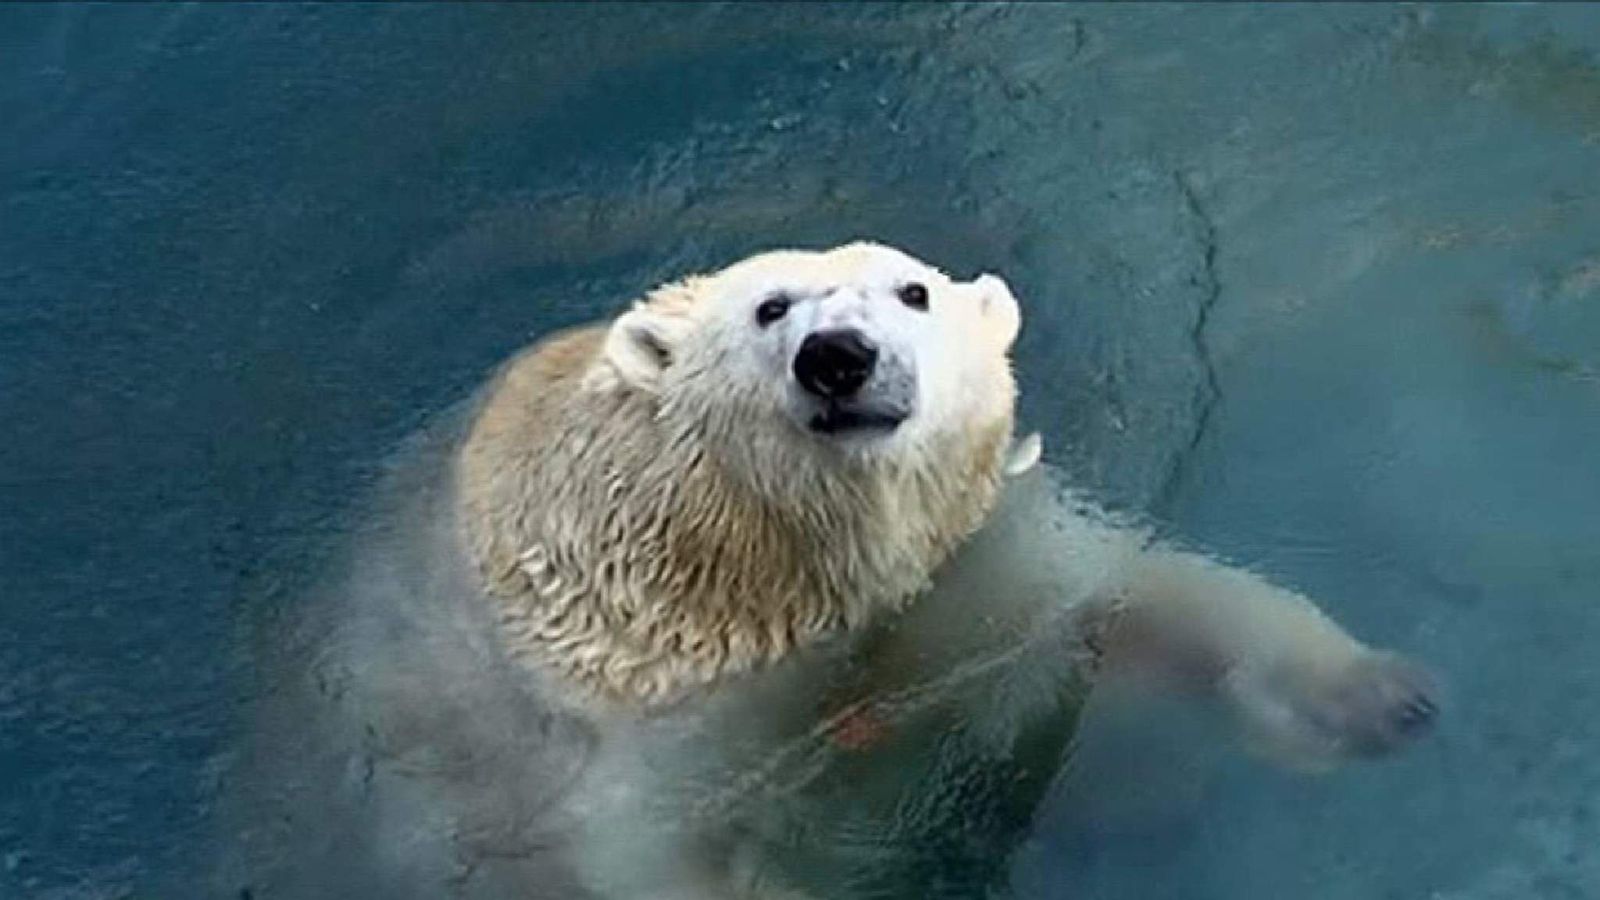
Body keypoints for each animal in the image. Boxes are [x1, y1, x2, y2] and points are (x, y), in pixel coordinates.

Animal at [219, 242, 1437, 900]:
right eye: (770, 308)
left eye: (913, 293)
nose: (838, 358)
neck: (801, 571)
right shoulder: (659, 695)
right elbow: (639, 847)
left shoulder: (974, 562)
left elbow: (1143, 593)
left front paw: (1371, 698)